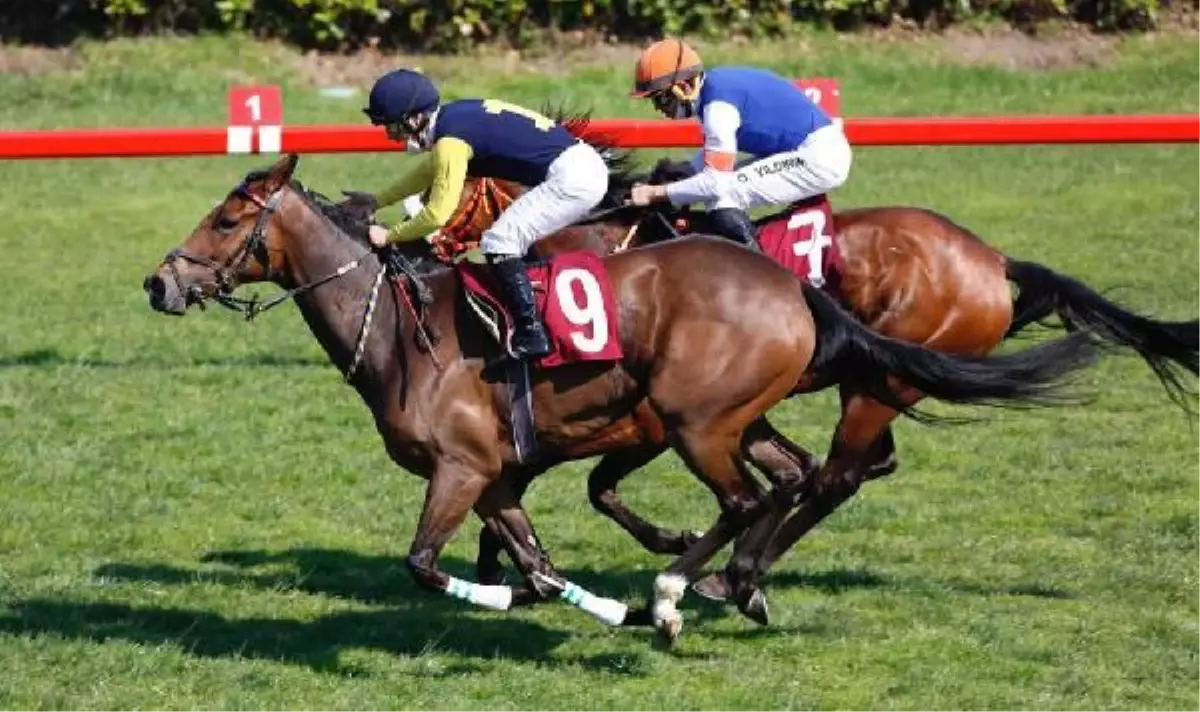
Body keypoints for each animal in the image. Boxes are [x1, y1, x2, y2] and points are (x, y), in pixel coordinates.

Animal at [140, 153, 1099, 638]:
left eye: (228, 220)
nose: (160, 283)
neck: (406, 335)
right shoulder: (500, 475)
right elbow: (536, 558)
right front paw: (588, 602)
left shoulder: (464, 467)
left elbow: (427, 561)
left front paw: (518, 596)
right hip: (745, 414)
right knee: (796, 480)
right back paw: (716, 585)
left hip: (712, 419)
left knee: (778, 490)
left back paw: (693, 588)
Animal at [436, 163, 1200, 607]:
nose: (432, 246)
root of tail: (992, 259)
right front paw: (510, 567)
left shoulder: (652, 417)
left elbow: (593, 485)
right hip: (880, 383)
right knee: (858, 468)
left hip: (879, 382)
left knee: (839, 475)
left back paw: (735, 576)